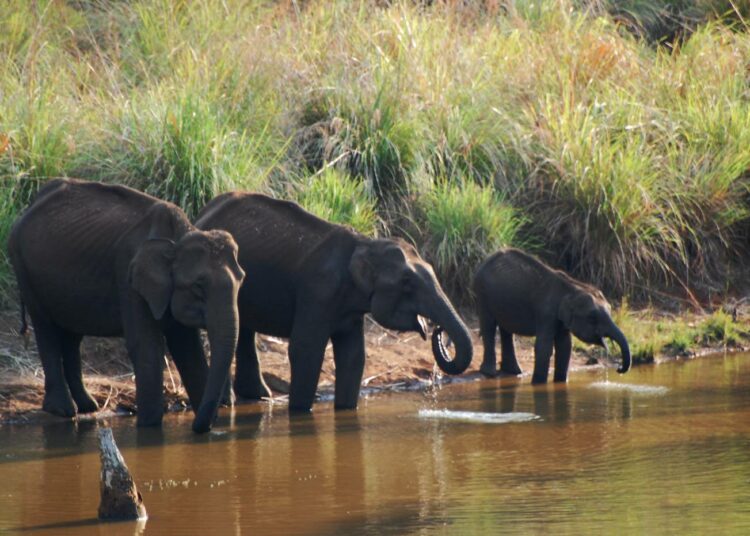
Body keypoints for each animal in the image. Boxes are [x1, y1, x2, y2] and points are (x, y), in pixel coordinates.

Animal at [8, 178, 245, 434]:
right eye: (199, 286)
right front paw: (149, 427)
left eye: (242, 280)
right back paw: (62, 409)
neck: (179, 237)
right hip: (23, 267)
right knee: (46, 328)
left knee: (72, 336)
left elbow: (188, 348)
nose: (200, 427)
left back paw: (87, 406)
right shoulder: (129, 276)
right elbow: (146, 344)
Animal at [197, 194, 472, 414]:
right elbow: (305, 349)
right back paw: (229, 402)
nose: (438, 330)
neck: (365, 244)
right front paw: (300, 413)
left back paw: (256, 396)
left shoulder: (350, 307)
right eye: (407, 282)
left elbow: (353, 355)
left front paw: (346, 410)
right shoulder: (318, 291)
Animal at [478, 249, 632, 384]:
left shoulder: (562, 319)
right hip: (483, 294)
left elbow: (565, 346)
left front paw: (561, 382)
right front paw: (538, 384)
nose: (619, 369)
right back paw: (489, 373)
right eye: (592, 318)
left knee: (506, 330)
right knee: (489, 325)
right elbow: (544, 346)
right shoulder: (546, 313)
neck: (572, 288)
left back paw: (514, 371)